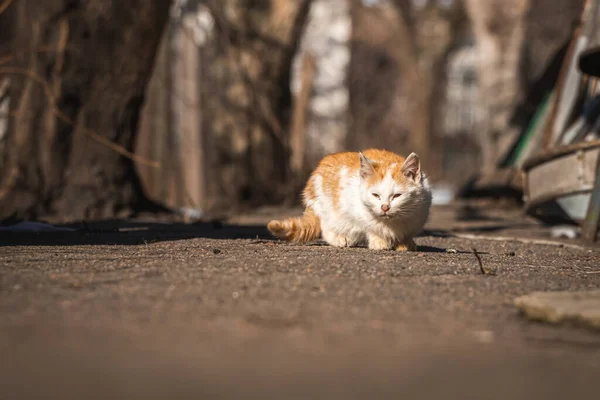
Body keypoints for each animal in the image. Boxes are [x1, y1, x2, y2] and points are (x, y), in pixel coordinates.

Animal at [268, 148, 432, 252]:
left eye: (397, 195)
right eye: (375, 195)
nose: (385, 207)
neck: (393, 223)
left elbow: (407, 233)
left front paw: (405, 243)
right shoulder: (355, 210)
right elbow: (372, 228)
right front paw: (379, 241)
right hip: (328, 208)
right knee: (326, 227)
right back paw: (341, 239)